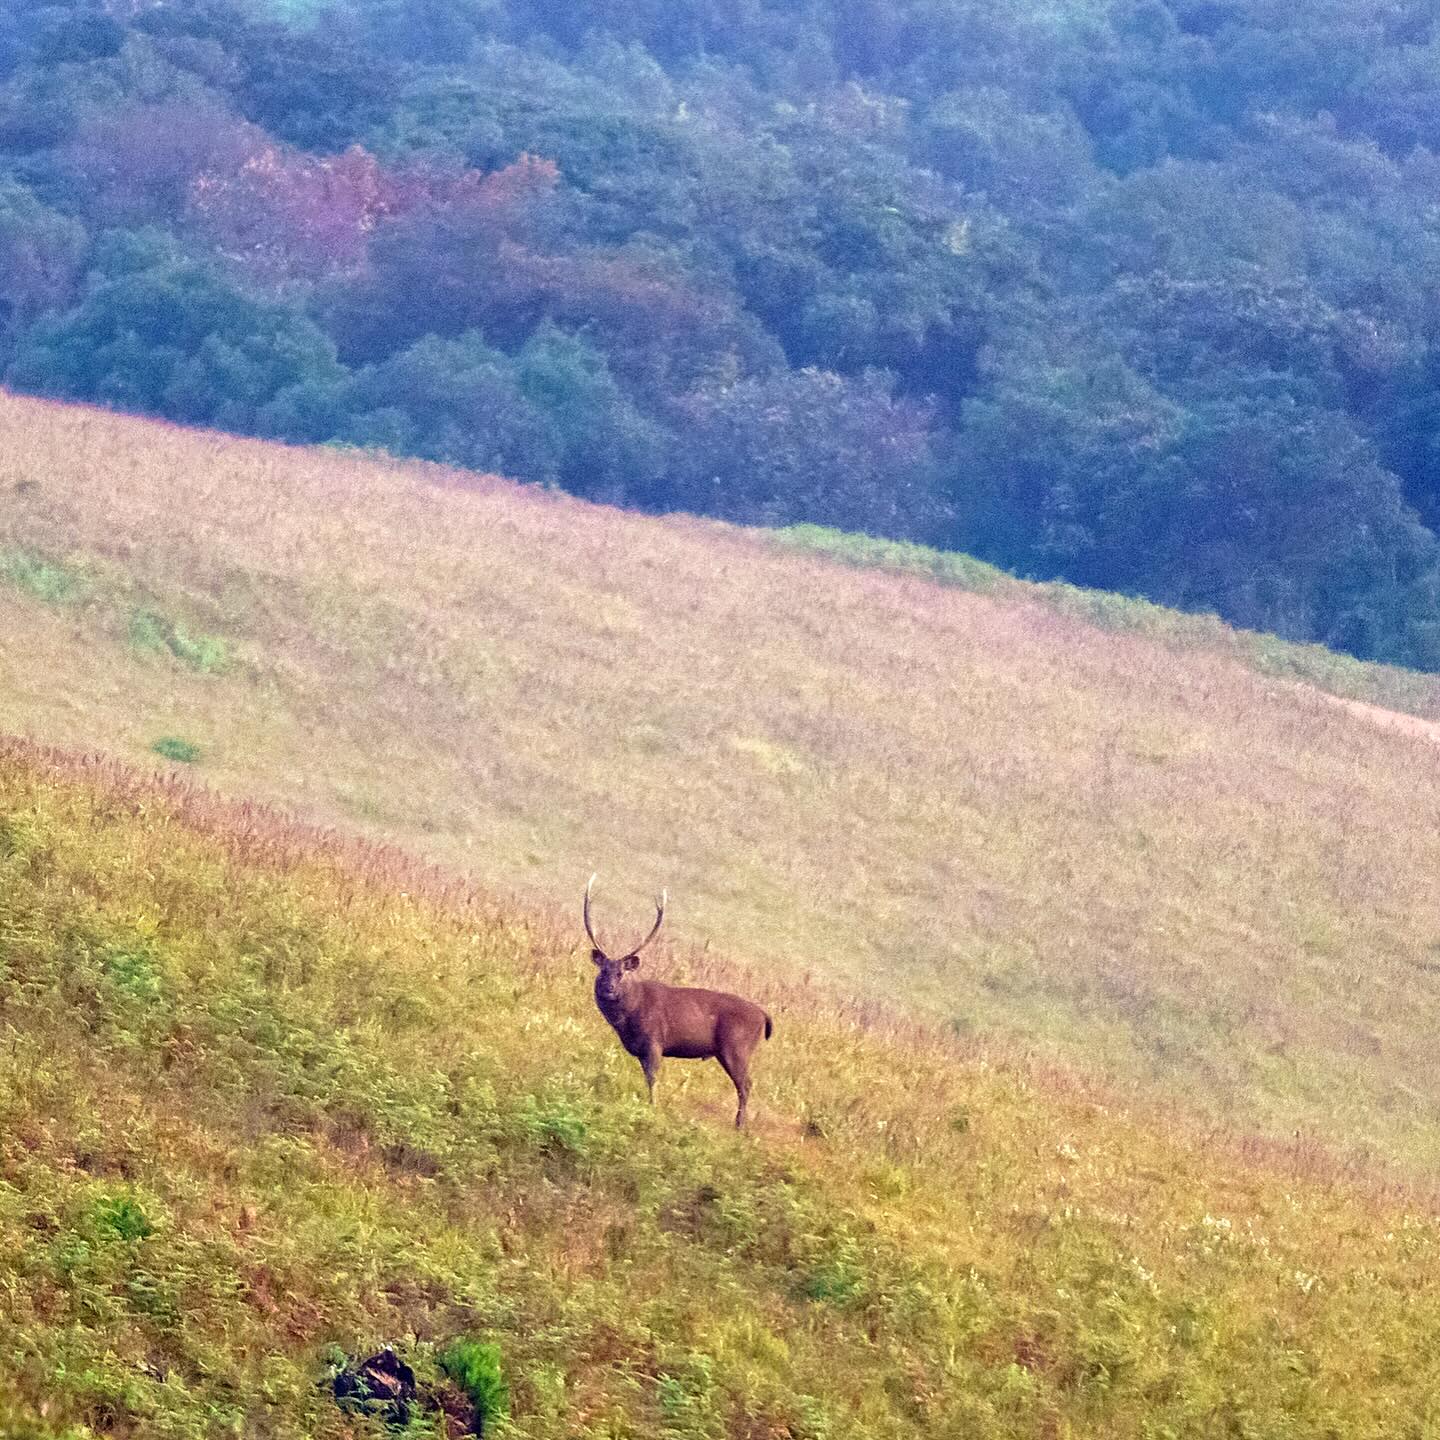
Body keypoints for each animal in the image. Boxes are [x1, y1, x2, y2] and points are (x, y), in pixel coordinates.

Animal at [584, 874, 773, 1129]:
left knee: (746, 1083)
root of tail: (764, 1015)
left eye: (621, 973)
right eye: (602, 971)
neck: (629, 1017)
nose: (608, 989)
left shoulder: (655, 1041)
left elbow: (652, 1078)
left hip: (737, 1047)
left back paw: (739, 1125)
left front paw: (652, 1107)